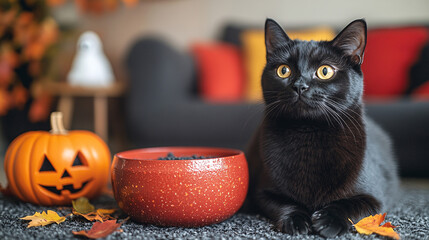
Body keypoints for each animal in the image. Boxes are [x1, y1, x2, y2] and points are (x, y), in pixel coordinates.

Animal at [246, 17, 400, 237]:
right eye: (283, 70)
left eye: (325, 71)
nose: (299, 86)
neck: (308, 134)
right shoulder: (263, 192)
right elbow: (284, 203)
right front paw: (296, 220)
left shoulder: (375, 198)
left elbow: (351, 205)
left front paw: (329, 220)